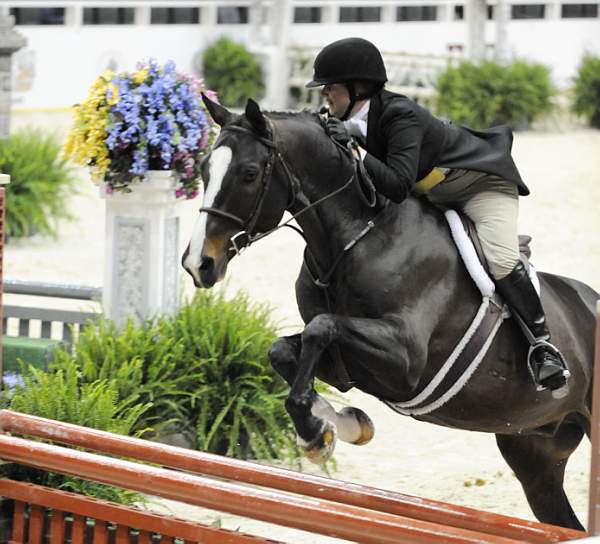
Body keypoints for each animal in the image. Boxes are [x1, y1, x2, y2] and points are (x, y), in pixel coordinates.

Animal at [184, 95, 600, 528]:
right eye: (204, 170)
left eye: (249, 174)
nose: (199, 264)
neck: (355, 238)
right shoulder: (346, 364)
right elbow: (284, 350)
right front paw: (335, 426)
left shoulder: (405, 362)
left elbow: (321, 327)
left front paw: (318, 432)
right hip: (535, 454)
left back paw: (548, 362)